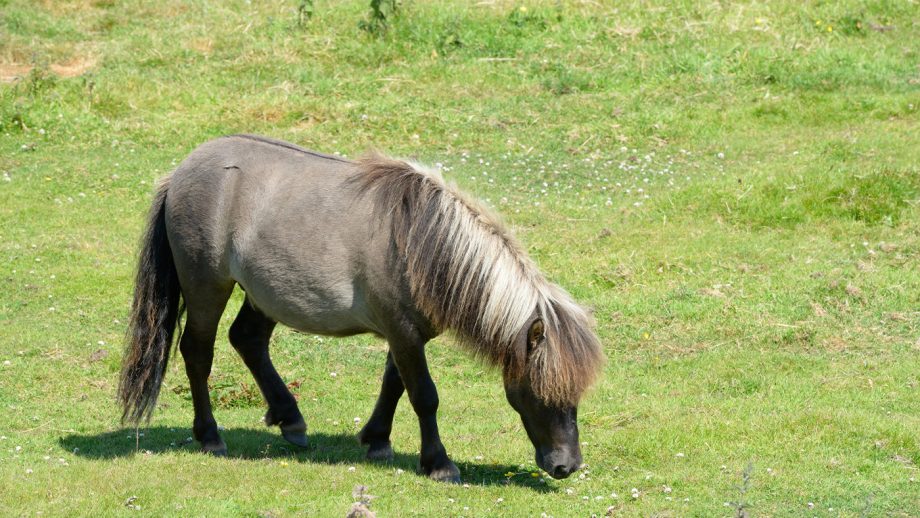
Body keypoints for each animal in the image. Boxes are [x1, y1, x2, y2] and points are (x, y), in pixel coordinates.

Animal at [118, 134, 604, 482]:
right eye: (540, 391)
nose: (566, 466)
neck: (420, 243)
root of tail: (179, 174)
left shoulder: (405, 333)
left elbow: (394, 385)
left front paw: (376, 440)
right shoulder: (404, 333)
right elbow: (424, 396)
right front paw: (438, 463)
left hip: (264, 294)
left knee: (248, 341)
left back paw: (291, 420)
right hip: (206, 288)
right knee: (198, 353)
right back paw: (211, 437)